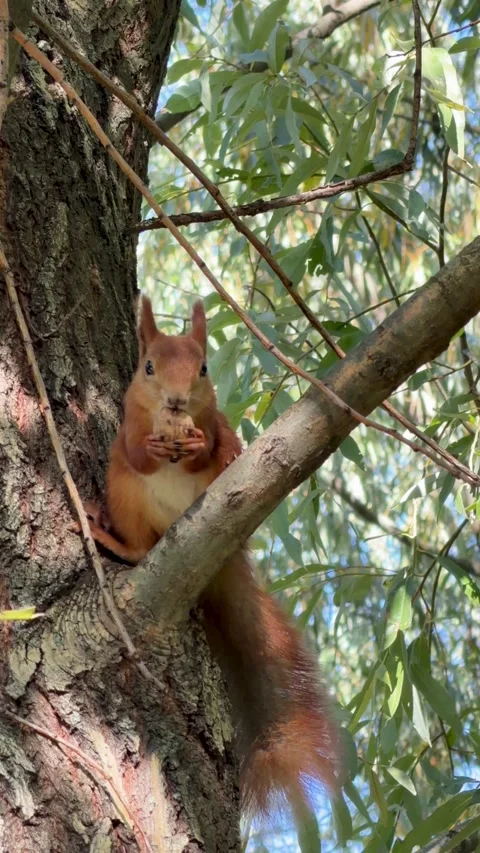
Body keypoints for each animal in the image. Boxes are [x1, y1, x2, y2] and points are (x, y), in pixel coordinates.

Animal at [87, 295, 342, 818]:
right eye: (147, 367)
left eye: (203, 368)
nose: (177, 401)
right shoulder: (127, 429)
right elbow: (136, 450)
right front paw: (153, 446)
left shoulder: (215, 420)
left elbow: (212, 445)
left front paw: (197, 443)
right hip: (124, 495)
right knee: (139, 544)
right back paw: (118, 541)